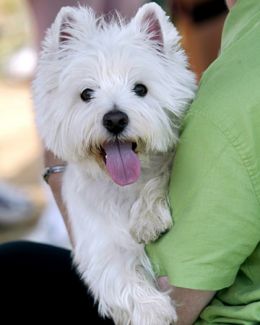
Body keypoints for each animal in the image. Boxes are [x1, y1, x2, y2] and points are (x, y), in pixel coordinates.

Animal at [33, 3, 195, 324]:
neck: (122, 187)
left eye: (141, 89)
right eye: (86, 94)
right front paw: (152, 311)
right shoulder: (98, 243)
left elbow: (164, 168)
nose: (116, 119)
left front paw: (147, 218)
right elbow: (117, 273)